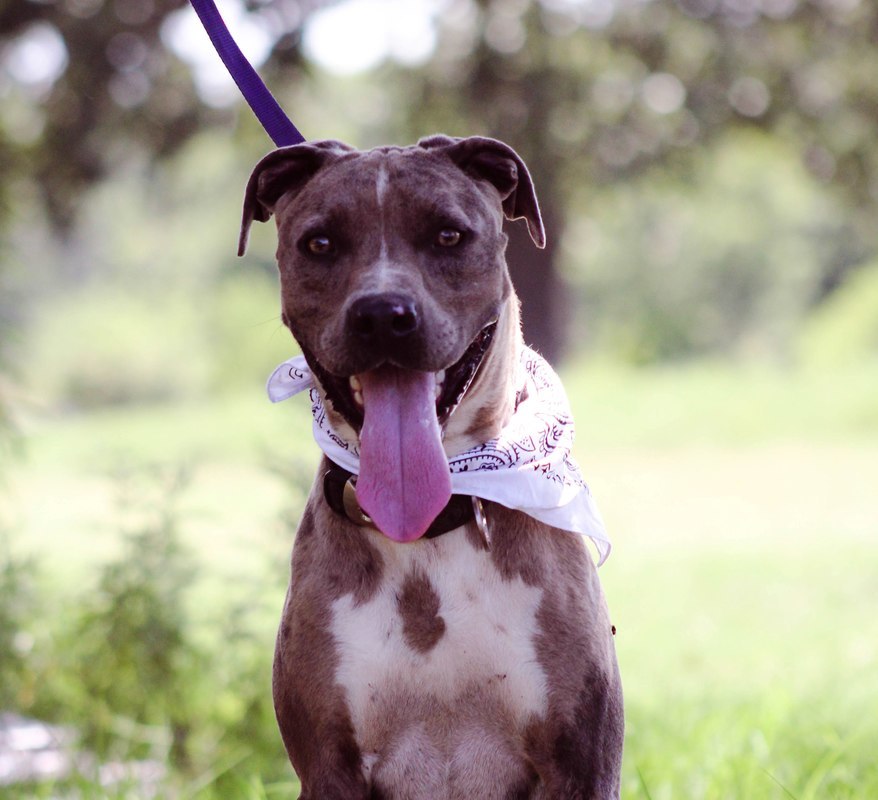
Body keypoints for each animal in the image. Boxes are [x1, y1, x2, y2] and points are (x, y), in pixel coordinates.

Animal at [241, 134, 624, 796]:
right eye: (320, 243)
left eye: (448, 235)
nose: (381, 314)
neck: (428, 530)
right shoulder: (328, 767)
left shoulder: (583, 761)